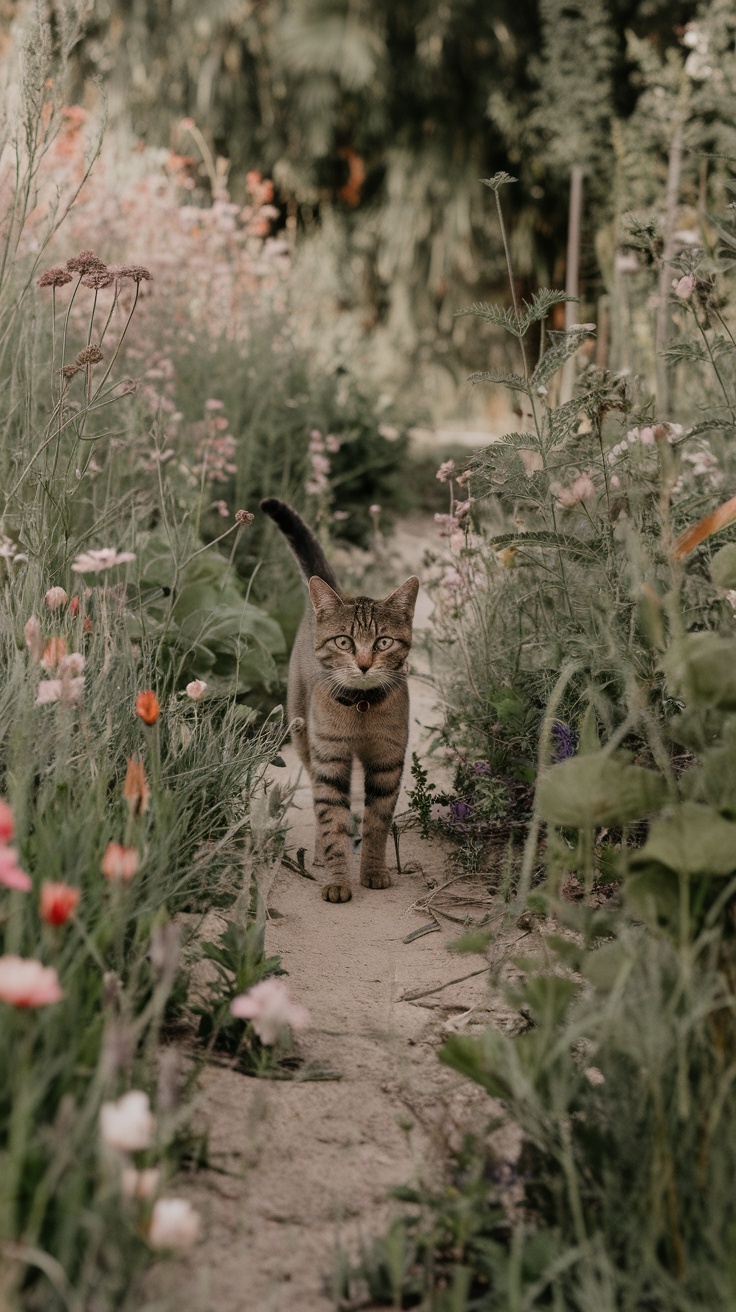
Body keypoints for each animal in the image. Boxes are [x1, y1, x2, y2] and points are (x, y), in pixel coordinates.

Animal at [261, 498, 417, 902]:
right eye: (344, 642)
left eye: (383, 642)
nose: (363, 664)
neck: (361, 706)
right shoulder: (330, 759)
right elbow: (332, 819)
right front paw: (337, 879)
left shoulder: (387, 760)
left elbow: (378, 821)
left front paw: (374, 871)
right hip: (304, 737)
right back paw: (319, 854)